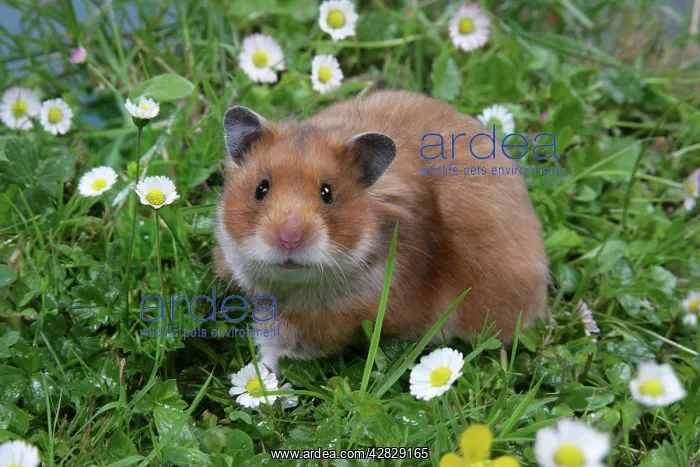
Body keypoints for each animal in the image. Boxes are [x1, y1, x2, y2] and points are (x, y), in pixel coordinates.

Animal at [215, 90, 548, 373]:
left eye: (327, 193)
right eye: (261, 188)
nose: (289, 238)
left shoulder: (333, 321)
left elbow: (280, 344)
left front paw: (263, 376)